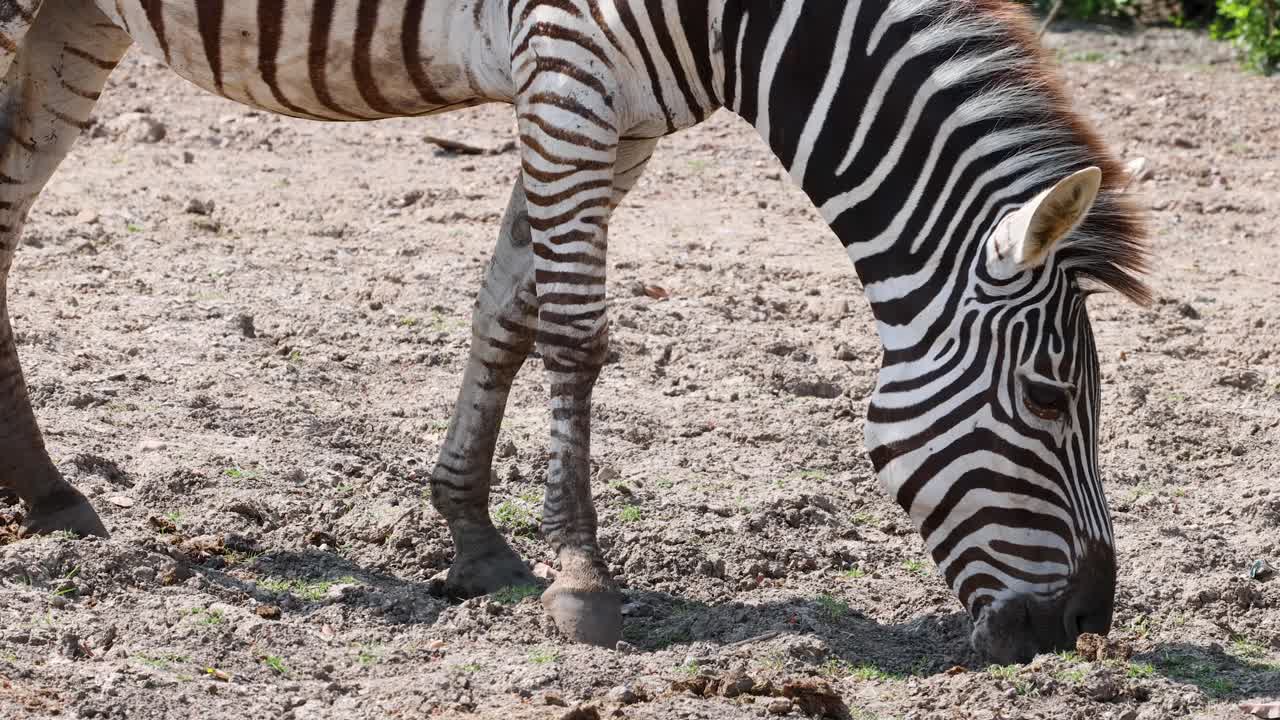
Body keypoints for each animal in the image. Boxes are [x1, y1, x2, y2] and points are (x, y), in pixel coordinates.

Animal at [0, 0, 1148, 664]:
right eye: (1049, 399)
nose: (1083, 625)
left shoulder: (618, 115)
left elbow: (505, 308)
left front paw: (475, 538)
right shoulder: (567, 73)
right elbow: (574, 336)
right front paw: (583, 583)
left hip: (76, 15)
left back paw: (48, 495)